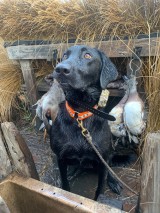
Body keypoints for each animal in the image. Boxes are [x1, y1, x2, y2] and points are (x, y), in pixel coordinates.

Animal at [50, 45, 120, 200]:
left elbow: (100, 189)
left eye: (87, 56)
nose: (60, 69)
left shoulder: (102, 160)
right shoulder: (61, 157)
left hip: (110, 152)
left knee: (111, 167)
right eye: (65, 56)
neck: (80, 113)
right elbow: (65, 184)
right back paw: (74, 171)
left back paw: (114, 181)